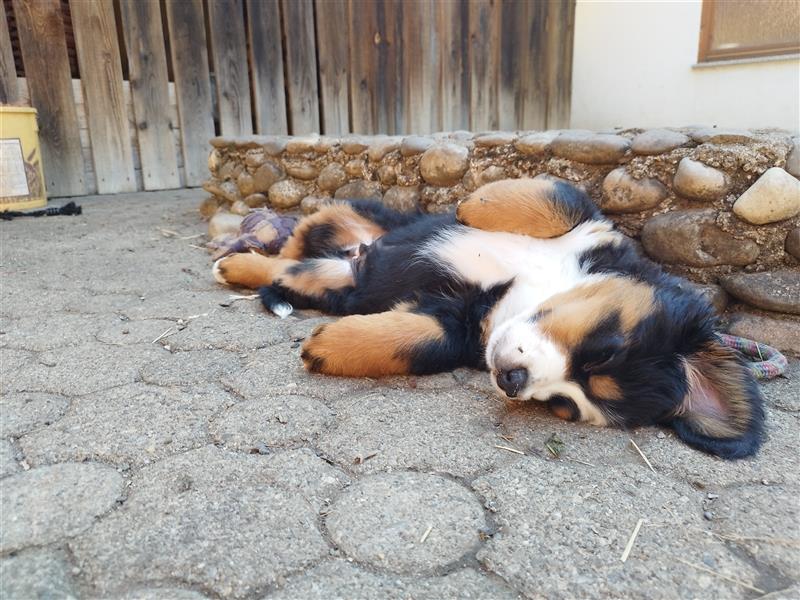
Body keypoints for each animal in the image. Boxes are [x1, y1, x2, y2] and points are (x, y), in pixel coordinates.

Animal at [212, 178, 764, 460]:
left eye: (563, 407)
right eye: (603, 349)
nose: (512, 381)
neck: (531, 289)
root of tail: (353, 257)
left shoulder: (454, 323)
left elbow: (419, 341)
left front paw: (326, 348)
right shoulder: (593, 226)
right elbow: (554, 197)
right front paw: (473, 203)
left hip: (337, 283)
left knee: (293, 270)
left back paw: (240, 269)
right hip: (346, 214)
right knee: (291, 249)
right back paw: (232, 259)